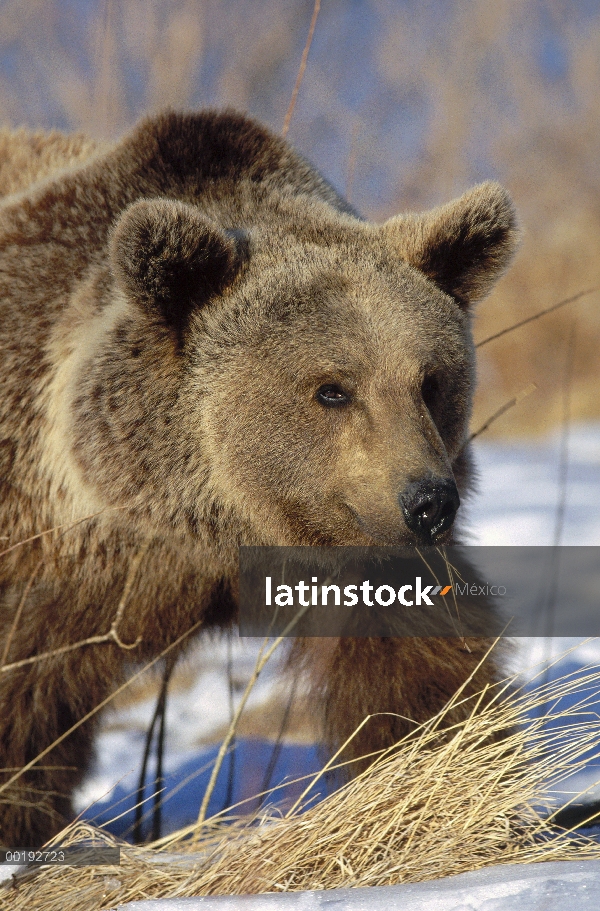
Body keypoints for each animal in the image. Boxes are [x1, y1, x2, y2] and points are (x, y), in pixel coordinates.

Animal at [0, 108, 516, 848]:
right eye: (332, 389)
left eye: (431, 381)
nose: (428, 502)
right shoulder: (58, 553)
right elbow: (25, 701)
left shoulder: (362, 552)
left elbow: (417, 670)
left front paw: (440, 781)